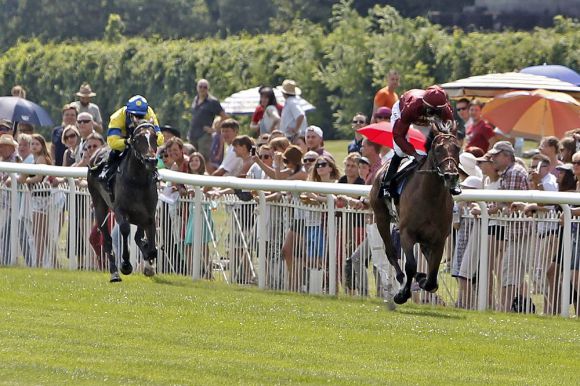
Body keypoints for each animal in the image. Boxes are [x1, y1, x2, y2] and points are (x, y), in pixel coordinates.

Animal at [87, 122, 159, 282]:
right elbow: (125, 230)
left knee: (137, 237)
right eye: (137, 139)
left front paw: (149, 264)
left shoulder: (149, 215)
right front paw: (126, 265)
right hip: (99, 204)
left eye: (155, 137)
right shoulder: (120, 211)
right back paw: (114, 273)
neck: (138, 182)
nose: (151, 161)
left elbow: (150, 246)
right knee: (107, 240)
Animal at [370, 126, 460, 304]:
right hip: (381, 218)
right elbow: (410, 265)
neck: (430, 197)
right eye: (438, 149)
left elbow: (432, 274)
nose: (451, 176)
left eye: (457, 148)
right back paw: (401, 278)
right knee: (391, 252)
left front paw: (424, 280)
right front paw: (402, 294)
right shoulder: (406, 233)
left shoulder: (439, 239)